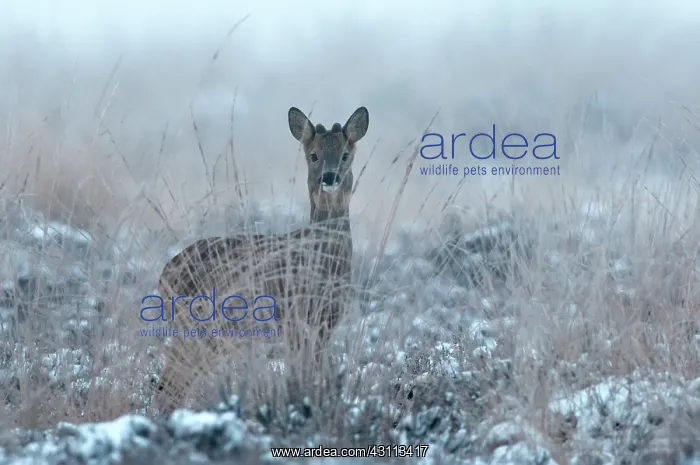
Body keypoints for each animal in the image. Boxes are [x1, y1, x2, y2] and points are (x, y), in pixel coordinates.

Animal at [151, 106, 369, 414]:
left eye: (345, 154)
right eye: (313, 155)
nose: (329, 177)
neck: (322, 258)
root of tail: (164, 274)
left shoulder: (324, 325)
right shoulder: (293, 321)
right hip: (197, 329)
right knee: (167, 388)